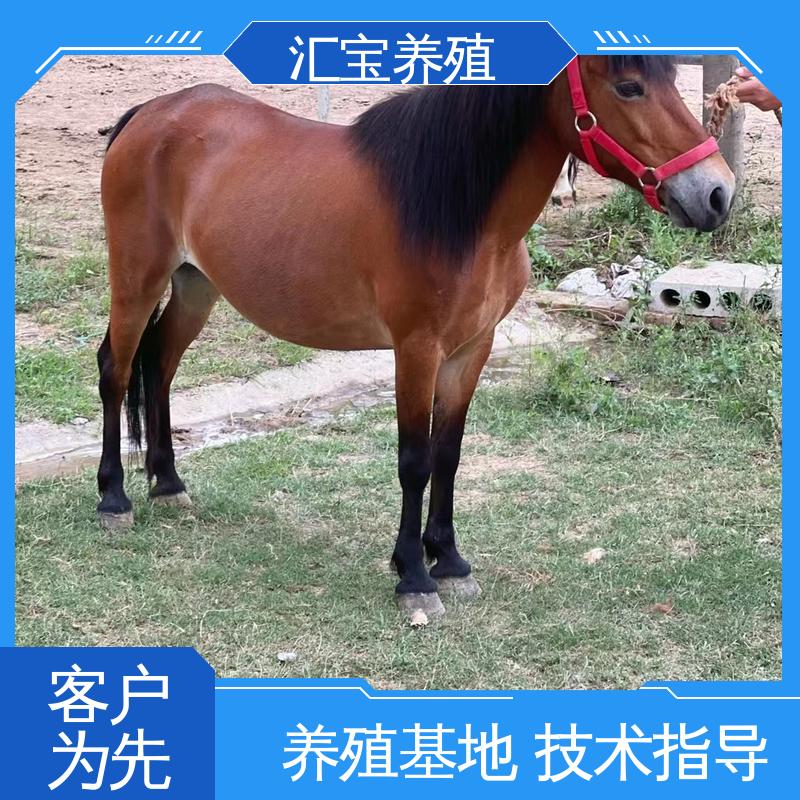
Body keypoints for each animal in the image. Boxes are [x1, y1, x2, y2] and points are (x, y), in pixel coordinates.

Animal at [97, 56, 734, 617]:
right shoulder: (416, 350)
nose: (717, 193)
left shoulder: (471, 349)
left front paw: (448, 560)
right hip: (136, 282)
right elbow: (414, 461)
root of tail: (151, 112)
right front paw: (413, 577)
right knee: (117, 370)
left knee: (160, 366)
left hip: (195, 286)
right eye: (629, 87)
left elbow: (448, 454)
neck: (461, 210)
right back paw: (114, 498)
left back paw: (168, 484)